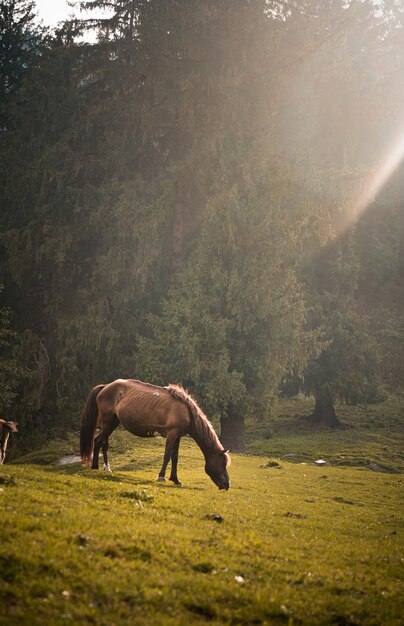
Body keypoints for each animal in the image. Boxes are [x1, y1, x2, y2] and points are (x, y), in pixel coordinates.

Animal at [79, 380, 230, 488]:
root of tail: (105, 387)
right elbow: (167, 455)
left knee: (99, 441)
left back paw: (98, 466)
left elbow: (175, 458)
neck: (187, 412)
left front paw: (175, 479)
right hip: (107, 422)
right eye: (222, 463)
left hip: (113, 422)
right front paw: (161, 477)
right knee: (101, 441)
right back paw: (104, 467)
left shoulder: (178, 436)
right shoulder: (171, 434)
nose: (227, 485)